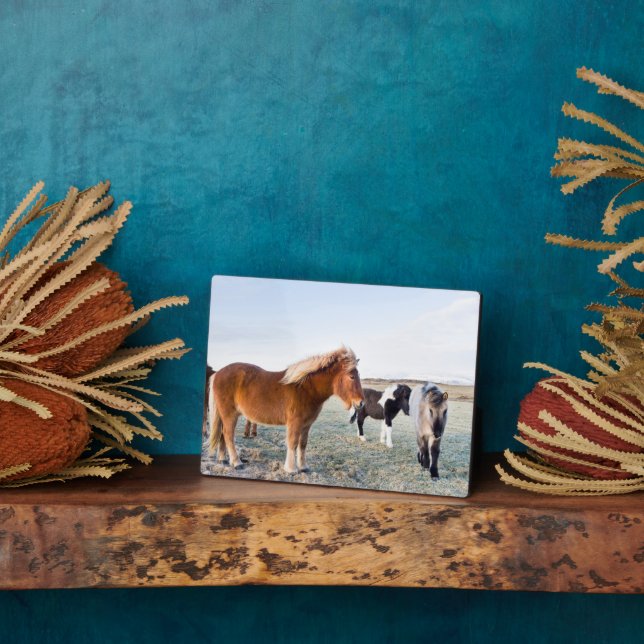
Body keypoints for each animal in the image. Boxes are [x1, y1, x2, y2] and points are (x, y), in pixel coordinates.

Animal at [207, 346, 364, 473]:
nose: (361, 403)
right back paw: (236, 462)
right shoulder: (295, 422)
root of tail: (218, 373)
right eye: (351, 376)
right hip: (230, 414)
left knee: (223, 434)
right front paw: (291, 469)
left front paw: (303, 467)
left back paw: (223, 459)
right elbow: (293, 442)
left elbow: (302, 444)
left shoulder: (306, 425)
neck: (306, 389)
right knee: (228, 434)